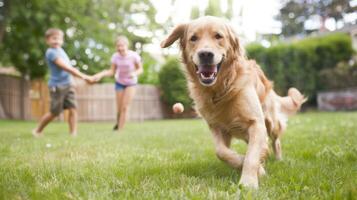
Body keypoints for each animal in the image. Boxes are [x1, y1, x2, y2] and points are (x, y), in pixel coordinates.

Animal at [161, 16, 306, 189]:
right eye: (193, 38)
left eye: (218, 36)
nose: (205, 54)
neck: (221, 90)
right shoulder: (216, 126)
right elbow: (222, 152)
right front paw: (245, 164)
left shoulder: (256, 123)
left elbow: (251, 156)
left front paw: (248, 182)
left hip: (270, 122)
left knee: (276, 140)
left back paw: (278, 158)